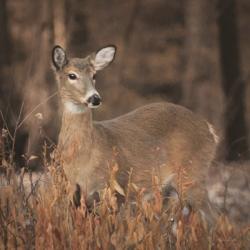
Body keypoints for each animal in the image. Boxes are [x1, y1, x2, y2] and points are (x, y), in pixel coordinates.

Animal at [51, 45, 218, 217]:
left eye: (94, 75)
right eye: (72, 75)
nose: (95, 98)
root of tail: (210, 129)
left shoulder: (111, 186)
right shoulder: (73, 191)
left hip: (192, 174)